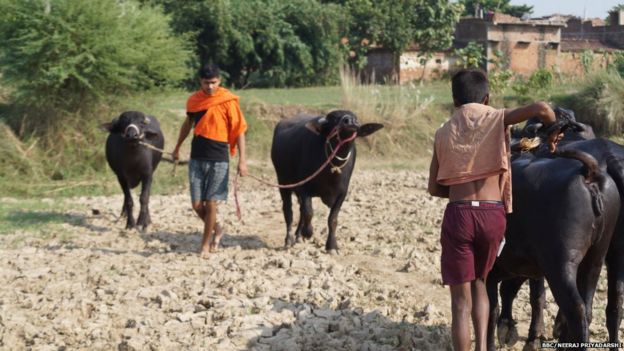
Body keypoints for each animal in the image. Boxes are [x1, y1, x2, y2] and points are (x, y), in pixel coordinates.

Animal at [270, 110, 382, 253]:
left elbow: (332, 219)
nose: (349, 121)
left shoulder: (342, 194)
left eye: (355, 117)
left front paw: (332, 246)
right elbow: (309, 212)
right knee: (288, 211)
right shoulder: (304, 188)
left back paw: (298, 236)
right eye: (334, 118)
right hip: (283, 182)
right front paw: (308, 233)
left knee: (300, 210)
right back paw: (289, 240)